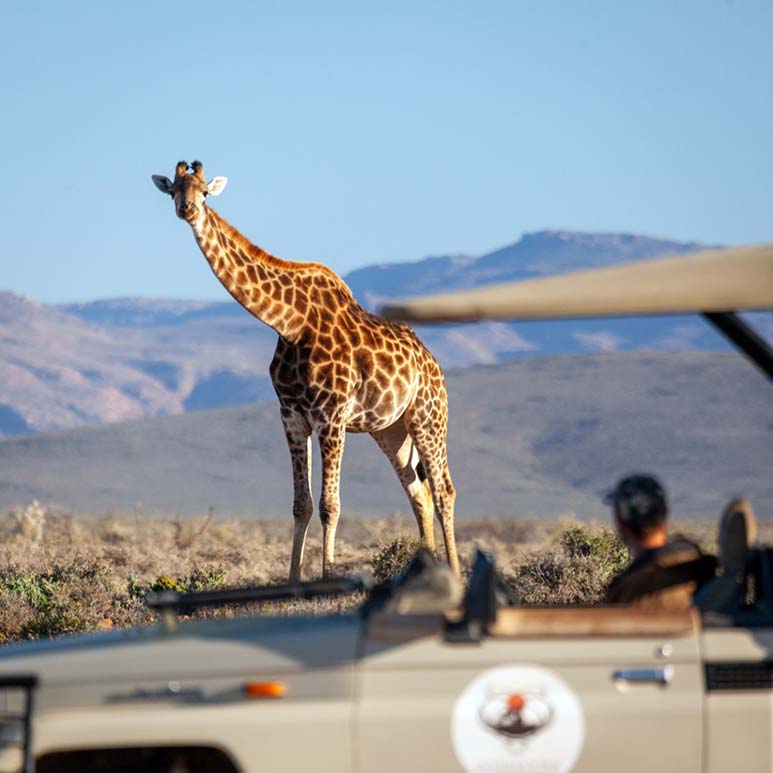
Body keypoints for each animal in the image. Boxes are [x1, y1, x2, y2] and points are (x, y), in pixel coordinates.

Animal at [149, 161, 458, 580]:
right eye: (173, 190)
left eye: (206, 192)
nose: (188, 209)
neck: (290, 324)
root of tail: (432, 362)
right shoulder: (292, 415)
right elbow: (302, 505)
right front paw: (293, 579)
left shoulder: (331, 416)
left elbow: (330, 504)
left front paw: (328, 578)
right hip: (391, 429)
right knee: (419, 493)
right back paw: (428, 574)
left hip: (428, 417)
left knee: (443, 491)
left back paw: (457, 572)